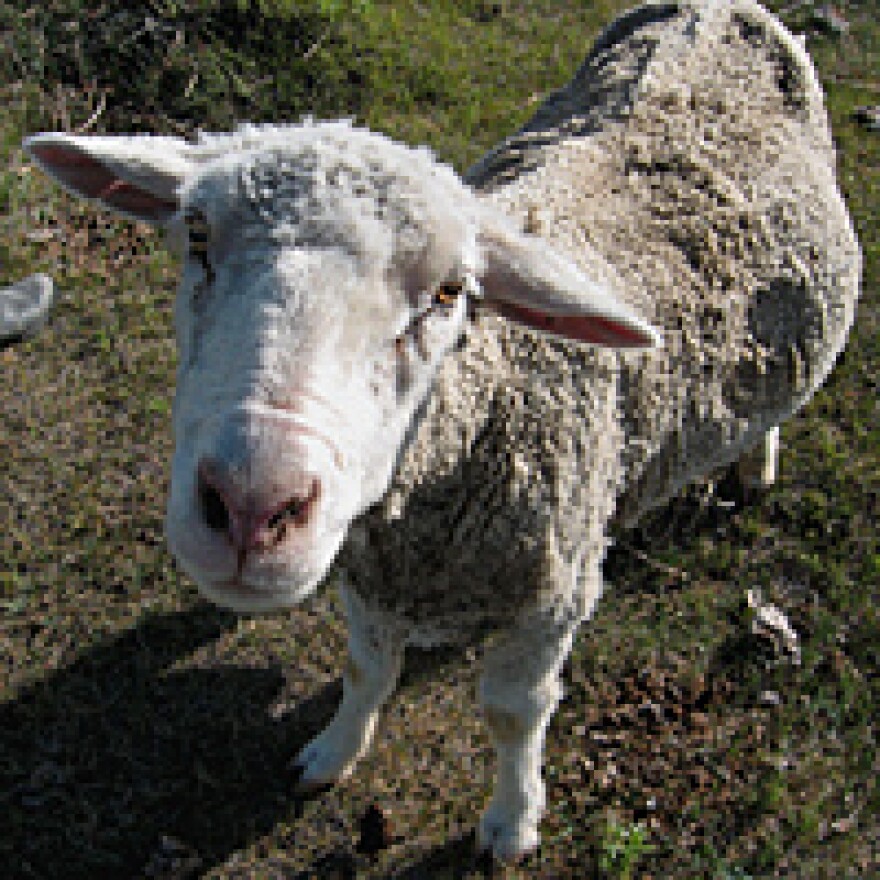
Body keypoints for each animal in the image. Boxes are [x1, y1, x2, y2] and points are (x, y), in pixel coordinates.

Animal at [24, 0, 864, 868]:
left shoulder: (552, 597)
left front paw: (511, 822)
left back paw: (756, 464)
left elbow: (512, 714)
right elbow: (365, 671)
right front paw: (334, 752)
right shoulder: (371, 574)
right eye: (195, 235)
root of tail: (722, 9)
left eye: (451, 291)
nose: (253, 505)